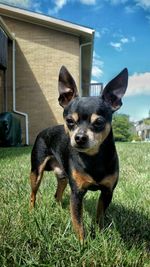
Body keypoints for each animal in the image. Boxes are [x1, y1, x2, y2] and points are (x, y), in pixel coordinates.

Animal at [29, 66, 127, 244]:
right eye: (70, 121)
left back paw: (59, 210)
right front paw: (82, 245)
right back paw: (32, 211)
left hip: (62, 176)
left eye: (99, 122)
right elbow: (78, 223)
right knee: (33, 193)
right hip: (36, 172)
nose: (80, 137)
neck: (93, 158)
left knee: (57, 195)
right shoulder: (77, 194)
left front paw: (99, 235)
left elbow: (99, 217)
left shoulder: (107, 192)